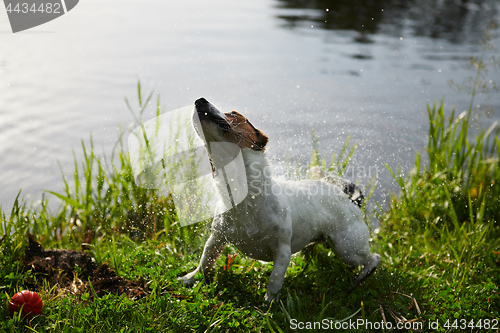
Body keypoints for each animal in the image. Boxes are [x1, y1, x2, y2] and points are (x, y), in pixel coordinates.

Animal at [178, 98, 380, 300]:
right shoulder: (217, 238)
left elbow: (275, 277)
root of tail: (350, 199)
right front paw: (190, 278)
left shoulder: (282, 250)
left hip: (348, 248)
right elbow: (204, 260)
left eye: (235, 114)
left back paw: (358, 281)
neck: (246, 197)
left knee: (374, 259)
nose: (199, 100)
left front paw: (270, 301)